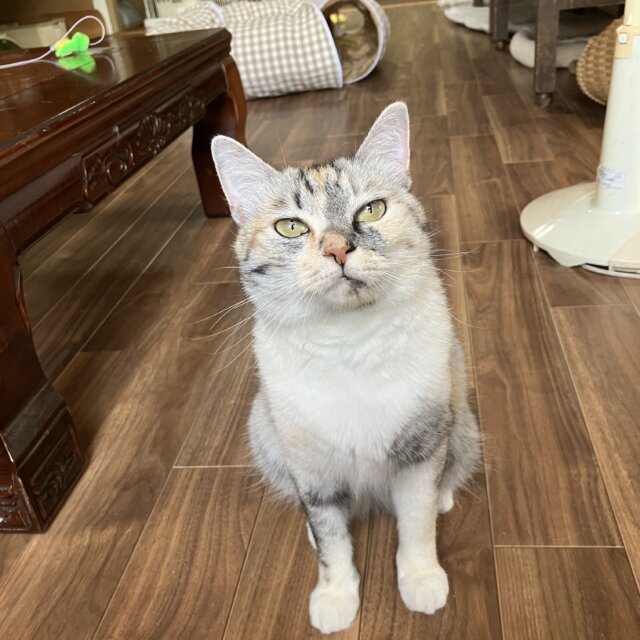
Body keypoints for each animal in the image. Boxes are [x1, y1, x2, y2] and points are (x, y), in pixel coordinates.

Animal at [211, 102, 481, 635]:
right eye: (290, 227)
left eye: (371, 210)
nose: (338, 249)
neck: (349, 342)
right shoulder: (310, 465)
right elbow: (332, 541)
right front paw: (335, 598)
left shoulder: (420, 449)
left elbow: (416, 524)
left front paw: (421, 579)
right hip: (263, 430)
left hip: (459, 421)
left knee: (447, 476)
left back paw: (443, 497)